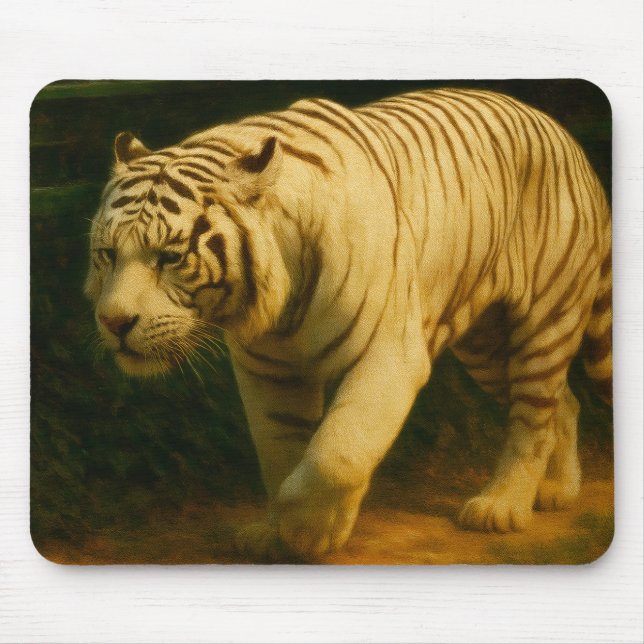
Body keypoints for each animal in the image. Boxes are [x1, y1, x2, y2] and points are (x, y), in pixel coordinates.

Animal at [85, 88, 612, 560]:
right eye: (108, 253)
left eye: (170, 257)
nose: (114, 321)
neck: (280, 298)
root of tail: (562, 134)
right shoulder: (267, 370)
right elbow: (279, 452)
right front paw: (274, 533)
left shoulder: (389, 355)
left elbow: (336, 453)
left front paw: (311, 531)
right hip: (486, 345)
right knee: (563, 401)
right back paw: (557, 490)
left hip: (546, 318)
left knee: (533, 413)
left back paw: (501, 507)